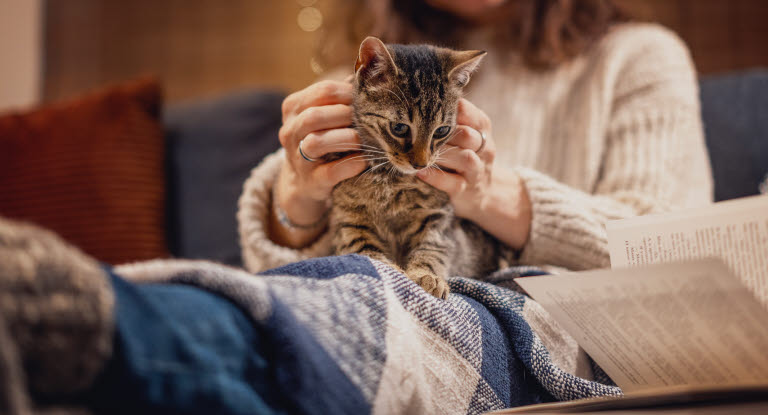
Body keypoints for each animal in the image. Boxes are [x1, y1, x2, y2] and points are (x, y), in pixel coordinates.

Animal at [332, 37, 508, 300]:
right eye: (399, 128)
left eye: (442, 131)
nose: (421, 164)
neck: (392, 178)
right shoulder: (348, 216)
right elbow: (361, 245)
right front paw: (388, 270)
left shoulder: (438, 214)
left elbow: (433, 246)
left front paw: (428, 275)